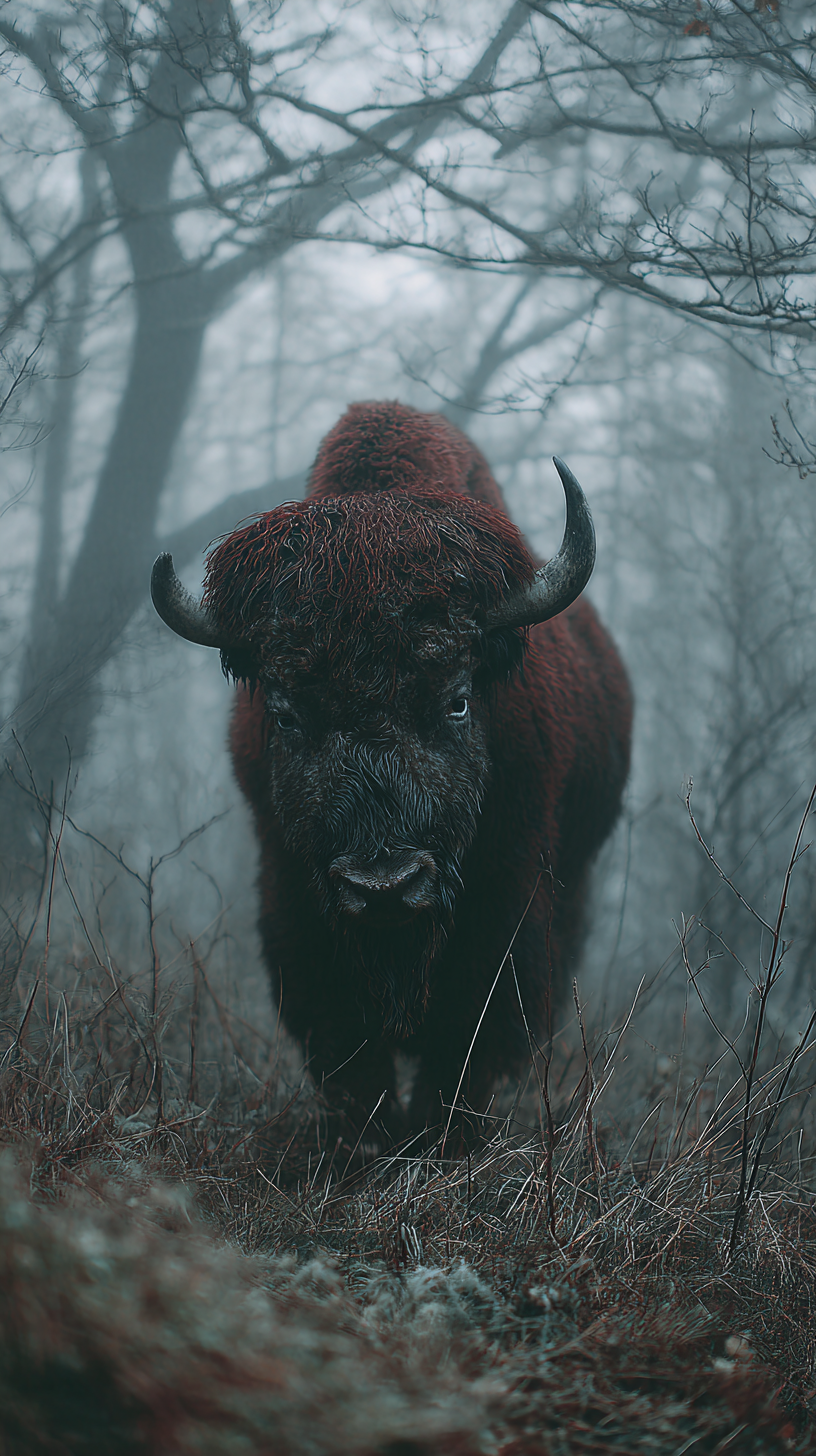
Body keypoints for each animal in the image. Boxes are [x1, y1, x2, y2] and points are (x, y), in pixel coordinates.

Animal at [151, 402, 632, 1142]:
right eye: (285, 713)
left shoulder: (507, 905)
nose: (384, 885)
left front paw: (442, 1138)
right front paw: (369, 1138)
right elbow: (345, 1041)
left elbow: (470, 1035)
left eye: (457, 700)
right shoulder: (294, 899)